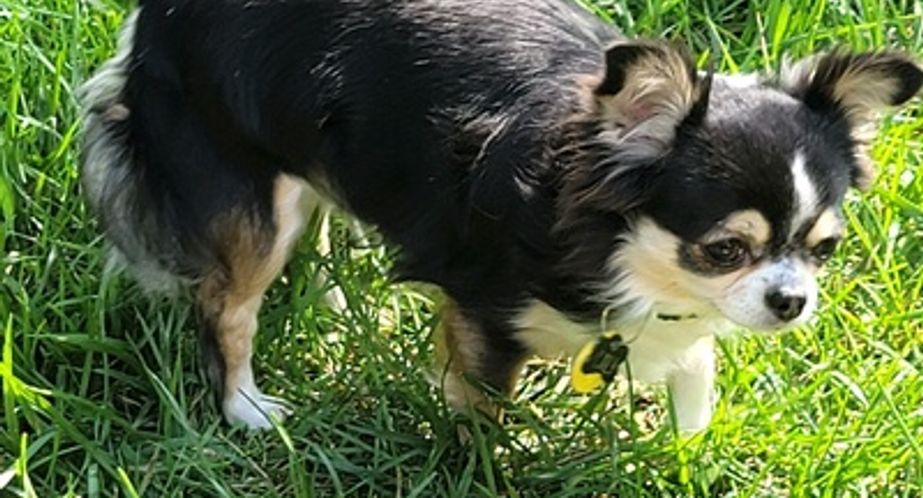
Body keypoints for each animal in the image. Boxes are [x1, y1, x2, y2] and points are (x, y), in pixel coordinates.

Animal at [80, 0, 922, 433]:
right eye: (724, 250)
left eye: (823, 248)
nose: (791, 301)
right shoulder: (481, 314)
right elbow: (485, 411)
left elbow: (696, 383)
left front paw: (690, 452)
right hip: (250, 192)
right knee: (226, 307)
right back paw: (246, 408)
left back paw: (331, 303)